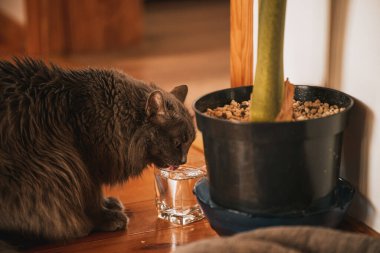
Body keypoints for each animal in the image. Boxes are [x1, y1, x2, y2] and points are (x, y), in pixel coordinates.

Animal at [0, 58, 196, 250]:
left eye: (190, 142)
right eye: (178, 144)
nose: (183, 160)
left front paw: (108, 204)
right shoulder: (86, 164)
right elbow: (91, 197)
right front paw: (106, 217)